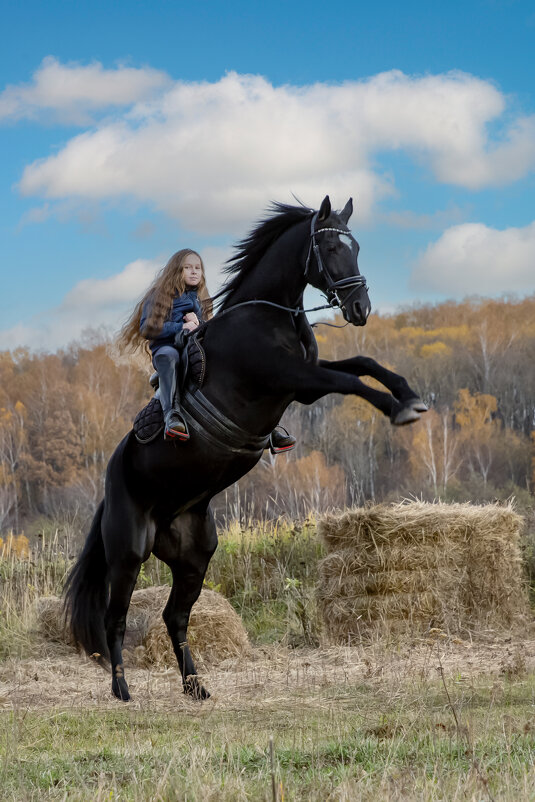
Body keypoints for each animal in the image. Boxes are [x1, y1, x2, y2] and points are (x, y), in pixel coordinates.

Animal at [63, 195, 428, 700]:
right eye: (332, 247)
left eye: (356, 246)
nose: (360, 307)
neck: (269, 315)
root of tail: (110, 489)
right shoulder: (294, 378)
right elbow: (352, 380)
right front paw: (400, 410)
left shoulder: (304, 383)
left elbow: (362, 362)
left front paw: (410, 396)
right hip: (128, 553)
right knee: (114, 619)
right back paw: (122, 690)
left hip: (195, 556)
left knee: (174, 616)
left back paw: (195, 686)